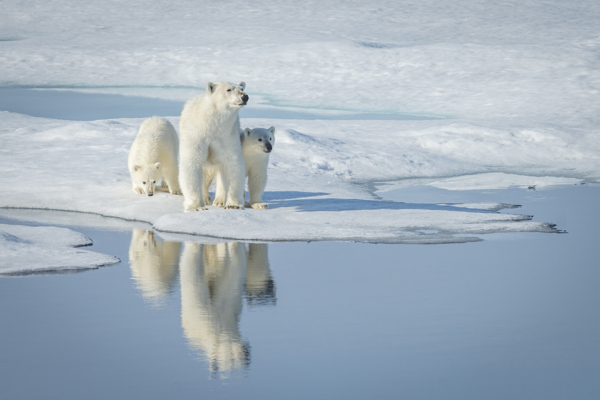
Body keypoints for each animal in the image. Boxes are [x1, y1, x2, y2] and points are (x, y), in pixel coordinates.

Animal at [177, 81, 247, 212]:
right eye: (229, 89)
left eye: (242, 88)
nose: (244, 96)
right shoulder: (195, 134)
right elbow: (192, 163)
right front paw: (196, 207)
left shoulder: (226, 135)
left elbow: (232, 163)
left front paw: (233, 204)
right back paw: (205, 199)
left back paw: (219, 200)